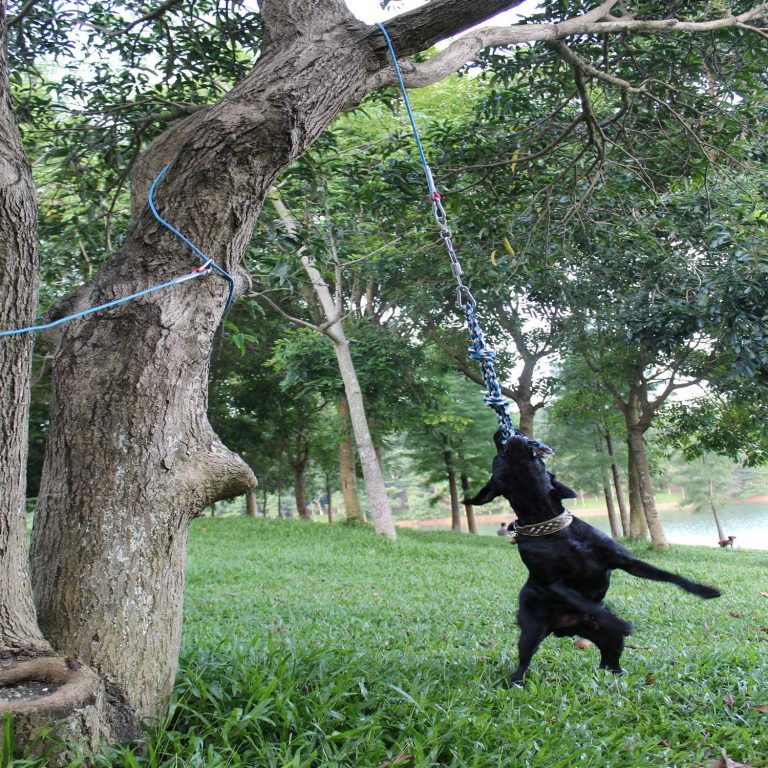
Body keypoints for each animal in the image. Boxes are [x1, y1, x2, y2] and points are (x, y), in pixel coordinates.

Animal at [468, 432, 720, 684]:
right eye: (499, 457)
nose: (506, 434)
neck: (551, 527)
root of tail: (565, 629)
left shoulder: (626, 562)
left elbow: (671, 577)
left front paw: (706, 591)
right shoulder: (554, 584)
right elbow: (586, 602)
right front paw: (620, 622)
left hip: (608, 641)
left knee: (608, 661)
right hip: (530, 634)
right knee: (523, 661)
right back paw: (515, 682)